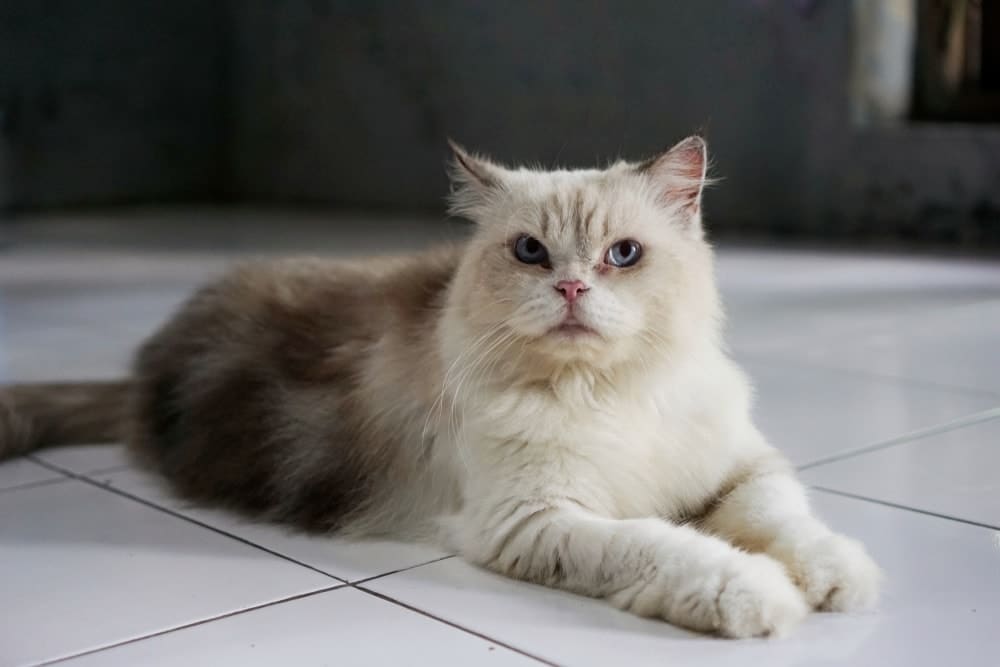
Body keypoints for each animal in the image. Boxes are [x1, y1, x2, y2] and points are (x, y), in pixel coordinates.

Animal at [0, 134, 880, 636]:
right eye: (530, 251)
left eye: (623, 256)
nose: (570, 288)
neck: (604, 392)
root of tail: (145, 365)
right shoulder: (536, 519)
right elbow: (670, 548)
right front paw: (758, 595)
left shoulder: (741, 467)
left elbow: (788, 521)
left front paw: (838, 578)